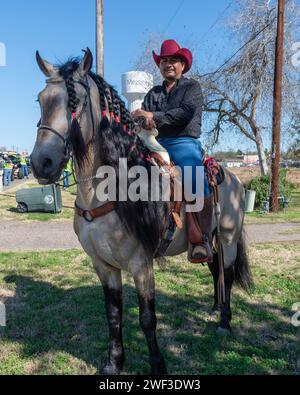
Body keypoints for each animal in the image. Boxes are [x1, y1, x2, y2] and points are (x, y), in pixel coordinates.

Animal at [30, 48, 252, 376]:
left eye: (76, 102)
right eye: (40, 100)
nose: (41, 163)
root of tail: (234, 178)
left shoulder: (140, 264)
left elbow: (147, 319)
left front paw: (158, 365)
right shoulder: (103, 265)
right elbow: (113, 315)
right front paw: (114, 363)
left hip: (228, 238)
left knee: (227, 273)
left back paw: (224, 321)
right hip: (209, 240)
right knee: (215, 270)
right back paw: (213, 308)